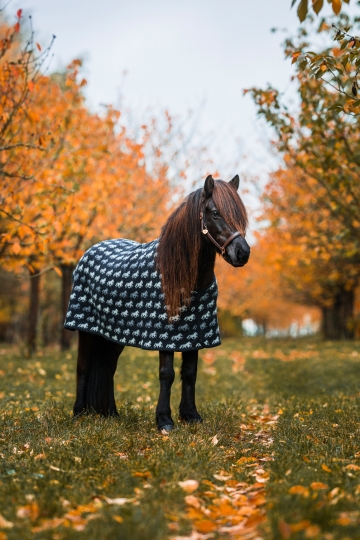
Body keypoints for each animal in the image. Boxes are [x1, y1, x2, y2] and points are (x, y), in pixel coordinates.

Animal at [64, 175, 250, 432]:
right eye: (214, 213)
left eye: (240, 215)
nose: (243, 253)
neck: (183, 276)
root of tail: (89, 252)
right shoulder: (165, 335)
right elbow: (167, 374)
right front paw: (164, 420)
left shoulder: (194, 335)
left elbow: (190, 373)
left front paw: (191, 415)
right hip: (86, 330)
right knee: (82, 367)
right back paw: (78, 414)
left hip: (113, 336)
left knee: (108, 368)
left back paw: (111, 414)